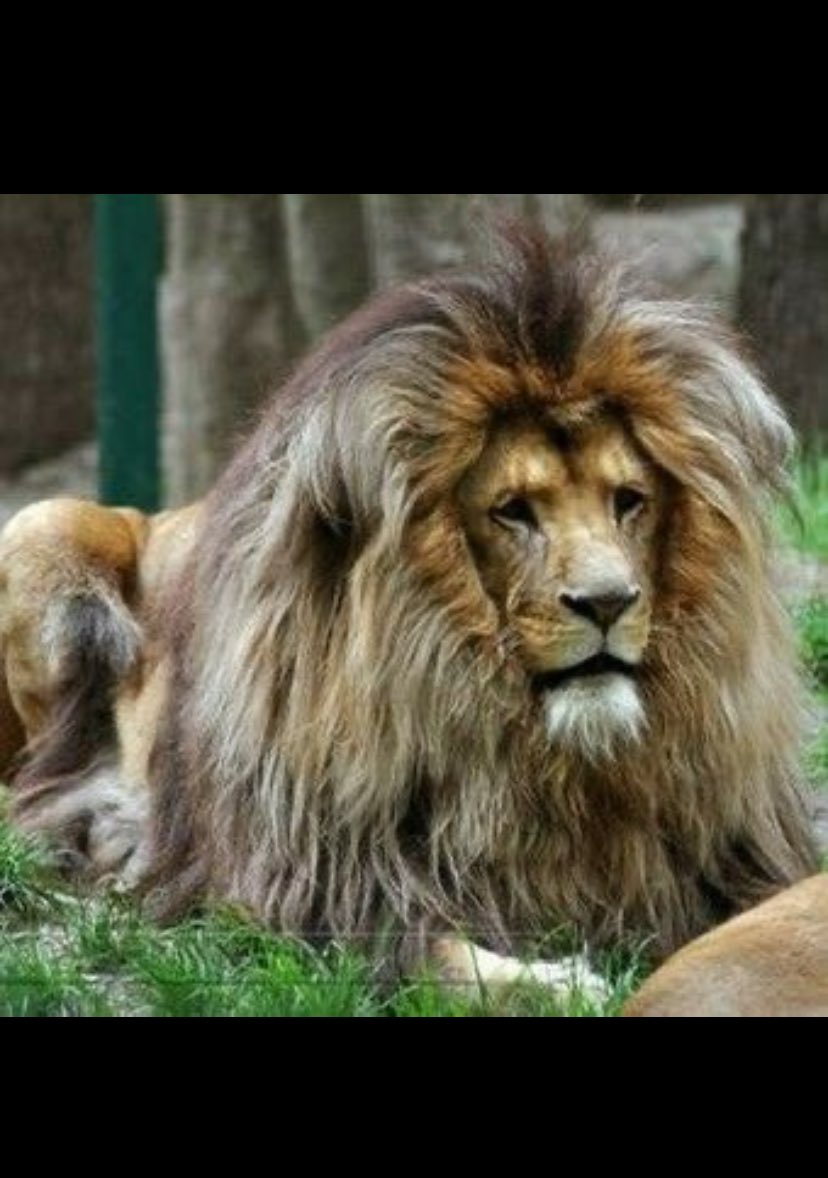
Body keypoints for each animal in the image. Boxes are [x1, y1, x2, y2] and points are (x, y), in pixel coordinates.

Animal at [0, 227, 819, 993]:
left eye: (629, 501)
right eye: (512, 511)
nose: (609, 601)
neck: (546, 764)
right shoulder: (315, 894)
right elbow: (447, 959)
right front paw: (562, 983)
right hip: (43, 525)